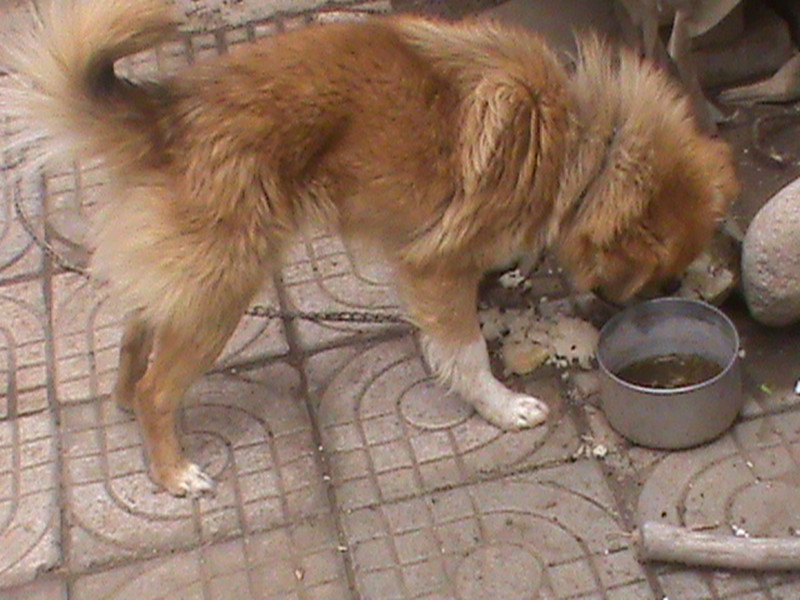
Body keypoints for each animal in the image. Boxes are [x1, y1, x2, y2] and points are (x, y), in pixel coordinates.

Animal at [0, 0, 738, 496]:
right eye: (658, 270)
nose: (664, 300)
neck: (586, 143)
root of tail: (166, 112)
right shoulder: (434, 267)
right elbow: (464, 351)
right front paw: (501, 407)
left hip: (194, 277)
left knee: (135, 336)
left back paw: (127, 403)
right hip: (224, 287)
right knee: (160, 385)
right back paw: (173, 470)